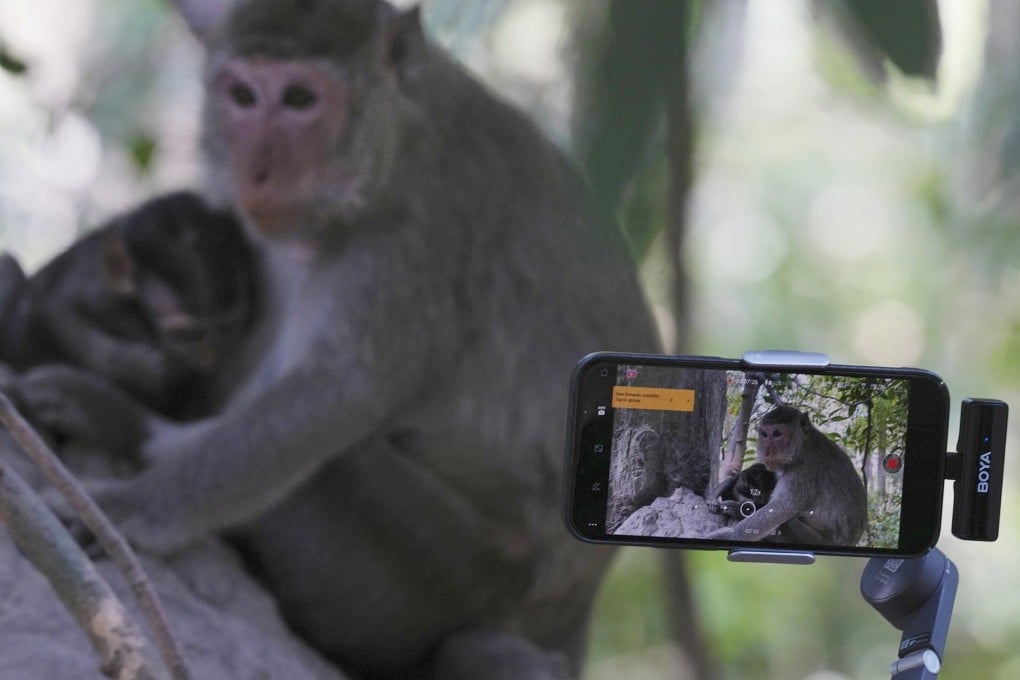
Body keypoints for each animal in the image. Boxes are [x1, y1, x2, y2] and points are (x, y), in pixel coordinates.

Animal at [1, 191, 258, 420]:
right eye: (187, 336)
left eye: (225, 331)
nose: (210, 355)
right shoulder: (98, 292)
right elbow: (53, 310)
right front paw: (150, 370)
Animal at [705, 405, 868, 546]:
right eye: (764, 434)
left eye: (777, 434)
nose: (767, 451)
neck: (803, 447)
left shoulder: (803, 472)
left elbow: (781, 508)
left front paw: (727, 535)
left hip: (815, 539)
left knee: (787, 521)